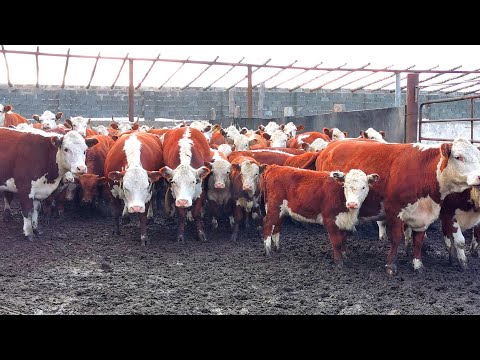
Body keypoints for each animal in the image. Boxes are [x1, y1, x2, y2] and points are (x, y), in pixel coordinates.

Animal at [316, 139, 480, 274]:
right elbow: (395, 238)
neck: (423, 170)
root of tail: (330, 146)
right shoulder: (395, 212)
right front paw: (391, 265)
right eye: (458, 157)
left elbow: (418, 241)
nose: (479, 176)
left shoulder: (423, 217)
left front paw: (418, 265)